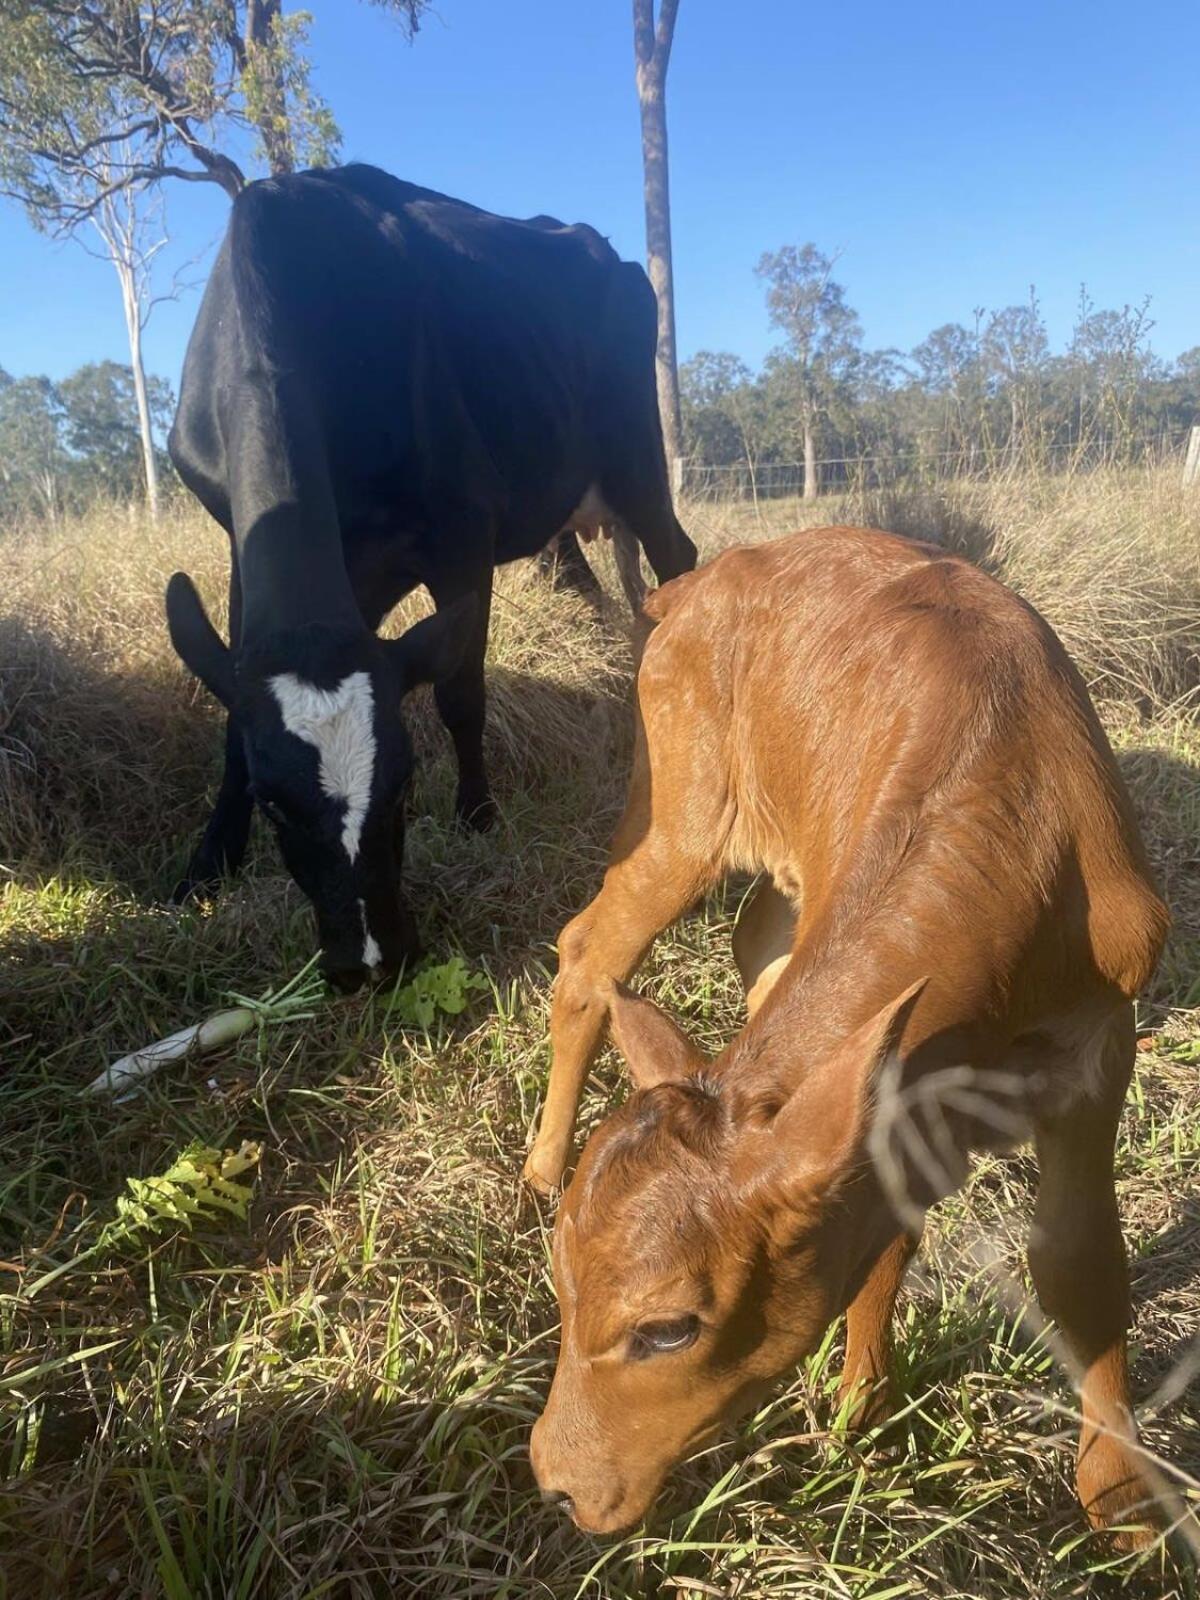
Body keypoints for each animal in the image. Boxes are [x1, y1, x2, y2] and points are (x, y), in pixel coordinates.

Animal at [164, 162, 700, 985]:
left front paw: (477, 815)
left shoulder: (462, 533)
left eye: (404, 782)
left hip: (636, 453)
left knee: (680, 558)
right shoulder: (241, 547)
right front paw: (207, 863)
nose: (371, 960)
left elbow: (459, 693)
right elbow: (230, 714)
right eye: (275, 803)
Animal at [531, 531, 1171, 1542]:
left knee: (747, 937)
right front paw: (857, 1415)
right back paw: (540, 1165)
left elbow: (1078, 1265)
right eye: (558, 1283)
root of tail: (701, 580)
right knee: (591, 953)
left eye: (668, 1329)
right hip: (678, 811)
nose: (554, 1481)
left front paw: (1121, 1502)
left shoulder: (1099, 1044)